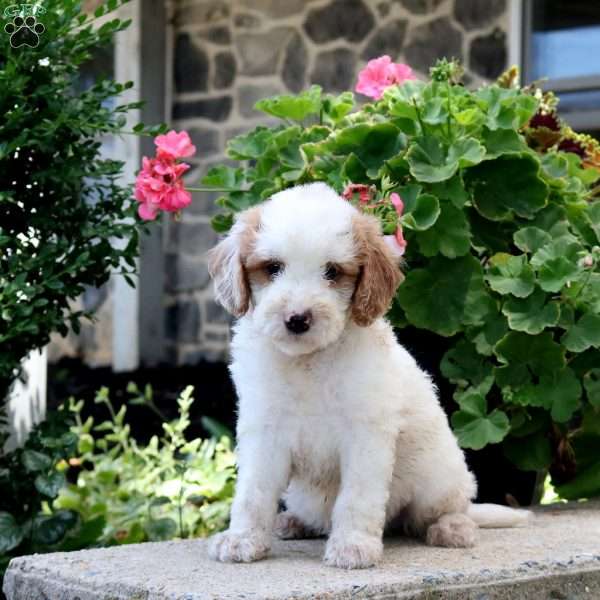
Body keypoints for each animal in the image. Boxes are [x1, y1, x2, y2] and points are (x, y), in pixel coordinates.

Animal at [207, 182, 528, 568]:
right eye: (272, 268)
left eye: (332, 272)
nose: (298, 319)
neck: (309, 361)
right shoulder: (264, 430)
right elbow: (252, 492)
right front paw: (242, 539)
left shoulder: (365, 435)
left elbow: (357, 496)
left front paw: (352, 545)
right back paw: (295, 522)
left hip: (439, 477)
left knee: (446, 508)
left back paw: (452, 528)